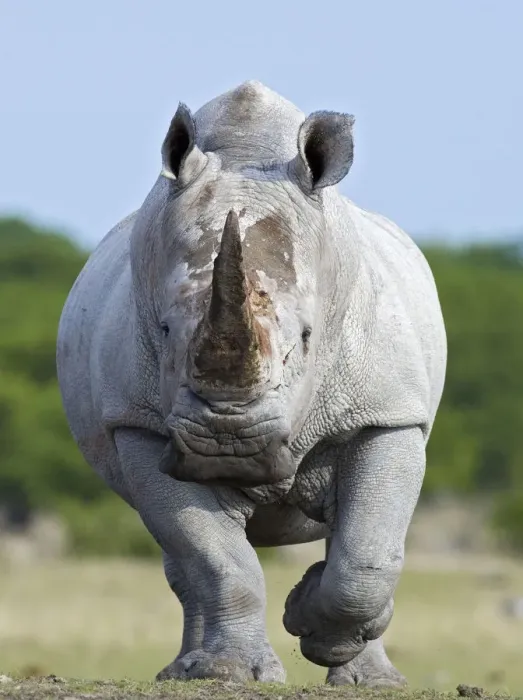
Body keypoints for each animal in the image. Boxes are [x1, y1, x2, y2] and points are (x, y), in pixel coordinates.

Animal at [56, 80, 447, 687]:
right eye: (163, 330)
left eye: (307, 337)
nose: (228, 444)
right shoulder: (140, 424)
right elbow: (214, 556)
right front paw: (231, 673)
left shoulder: (388, 413)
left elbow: (367, 552)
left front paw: (312, 622)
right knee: (184, 562)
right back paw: (187, 671)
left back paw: (372, 680)